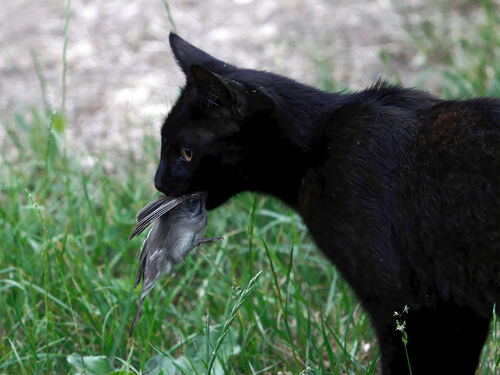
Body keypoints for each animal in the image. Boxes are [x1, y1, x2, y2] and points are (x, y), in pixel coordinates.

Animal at [154, 33, 498, 375]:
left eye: (186, 152)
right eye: (163, 144)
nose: (157, 181)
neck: (318, 146)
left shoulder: (409, 306)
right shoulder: (458, 308)